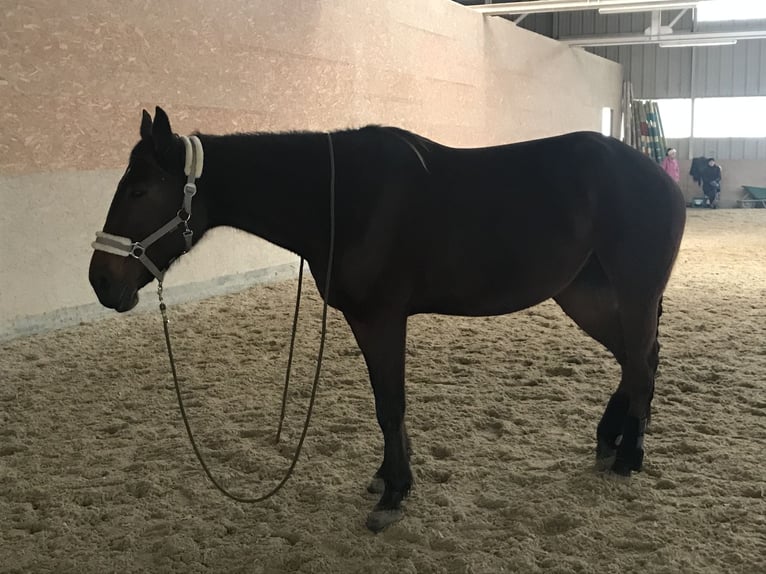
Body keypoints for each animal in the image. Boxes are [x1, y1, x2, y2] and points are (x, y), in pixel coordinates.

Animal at [90, 109, 688, 536]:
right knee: (638, 360)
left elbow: (390, 404)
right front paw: (387, 478)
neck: (342, 199)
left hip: (632, 292)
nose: (100, 282)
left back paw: (630, 455)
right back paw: (611, 440)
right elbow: (385, 403)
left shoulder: (381, 319)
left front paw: (394, 493)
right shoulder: (368, 321)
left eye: (140, 190)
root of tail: (659, 177)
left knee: (641, 361)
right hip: (583, 294)